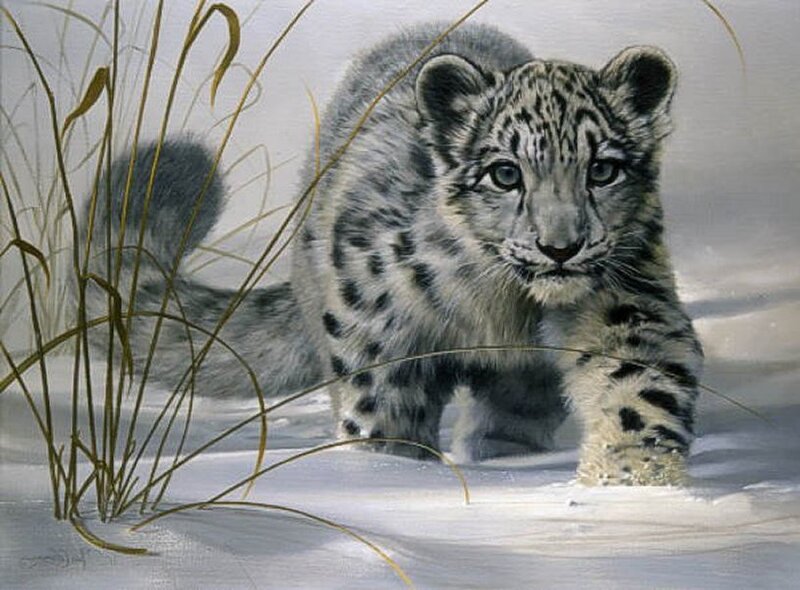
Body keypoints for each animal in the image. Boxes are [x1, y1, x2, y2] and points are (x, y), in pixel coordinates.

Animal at [83, 23, 703, 486]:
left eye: (603, 169)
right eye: (505, 173)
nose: (560, 247)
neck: (501, 305)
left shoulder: (627, 299)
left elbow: (638, 387)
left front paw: (632, 483)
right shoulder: (379, 332)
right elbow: (381, 418)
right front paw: (391, 476)